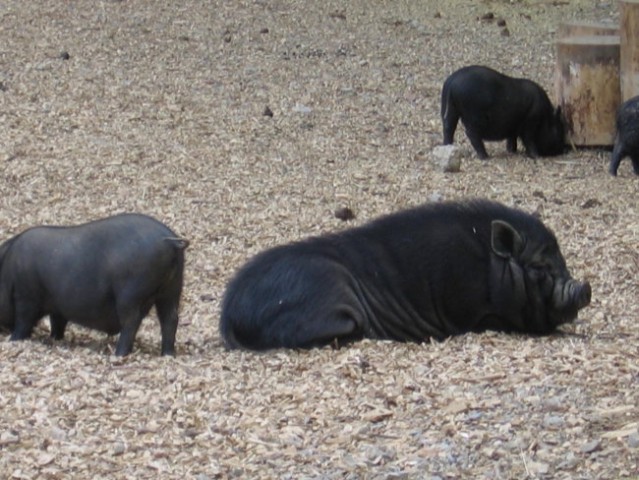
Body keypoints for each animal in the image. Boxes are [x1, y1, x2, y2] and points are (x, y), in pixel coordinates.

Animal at [0, 214, 190, 356]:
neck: (7, 271)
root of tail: (170, 241)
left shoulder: (26, 296)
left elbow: (23, 321)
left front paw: (13, 340)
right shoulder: (57, 305)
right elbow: (57, 322)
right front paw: (54, 338)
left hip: (130, 295)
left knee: (131, 321)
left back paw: (118, 354)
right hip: (172, 290)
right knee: (170, 318)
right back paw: (168, 354)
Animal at [219, 197, 592, 350]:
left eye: (562, 261)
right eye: (540, 268)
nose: (584, 288)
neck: (490, 268)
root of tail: (229, 315)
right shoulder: (474, 310)